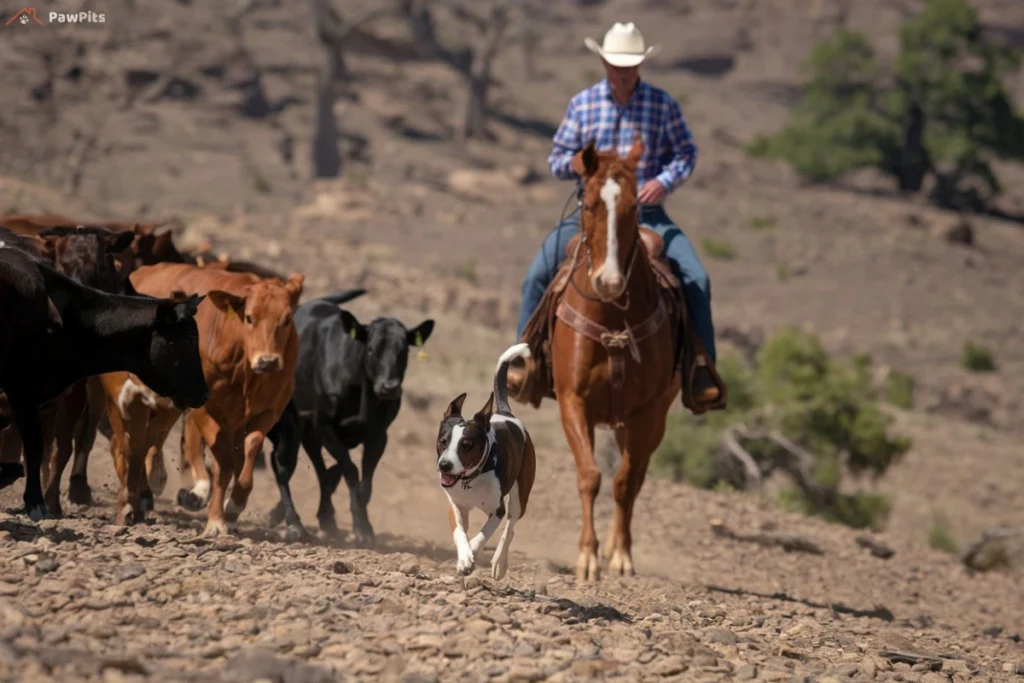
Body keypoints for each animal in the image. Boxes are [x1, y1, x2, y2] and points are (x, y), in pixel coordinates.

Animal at [120, 262, 303, 532]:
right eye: (249, 317)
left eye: (287, 319)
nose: (268, 361)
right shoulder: (205, 410)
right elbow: (222, 464)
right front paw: (216, 520)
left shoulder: (265, 413)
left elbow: (249, 450)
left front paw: (234, 504)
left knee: (156, 435)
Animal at [266, 290, 434, 548]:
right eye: (371, 349)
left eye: (403, 351)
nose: (389, 387)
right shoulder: (325, 426)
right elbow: (351, 470)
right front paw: (362, 529)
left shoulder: (378, 435)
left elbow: (363, 481)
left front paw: (362, 522)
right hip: (293, 426)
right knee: (283, 465)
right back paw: (294, 524)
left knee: (319, 469)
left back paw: (323, 518)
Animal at [548, 137, 684, 581]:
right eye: (589, 203)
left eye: (633, 207)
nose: (608, 282)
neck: (611, 316)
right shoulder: (573, 401)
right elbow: (590, 475)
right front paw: (586, 557)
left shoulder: (647, 410)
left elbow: (624, 482)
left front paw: (620, 555)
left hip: (653, 419)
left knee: (635, 475)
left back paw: (617, 545)